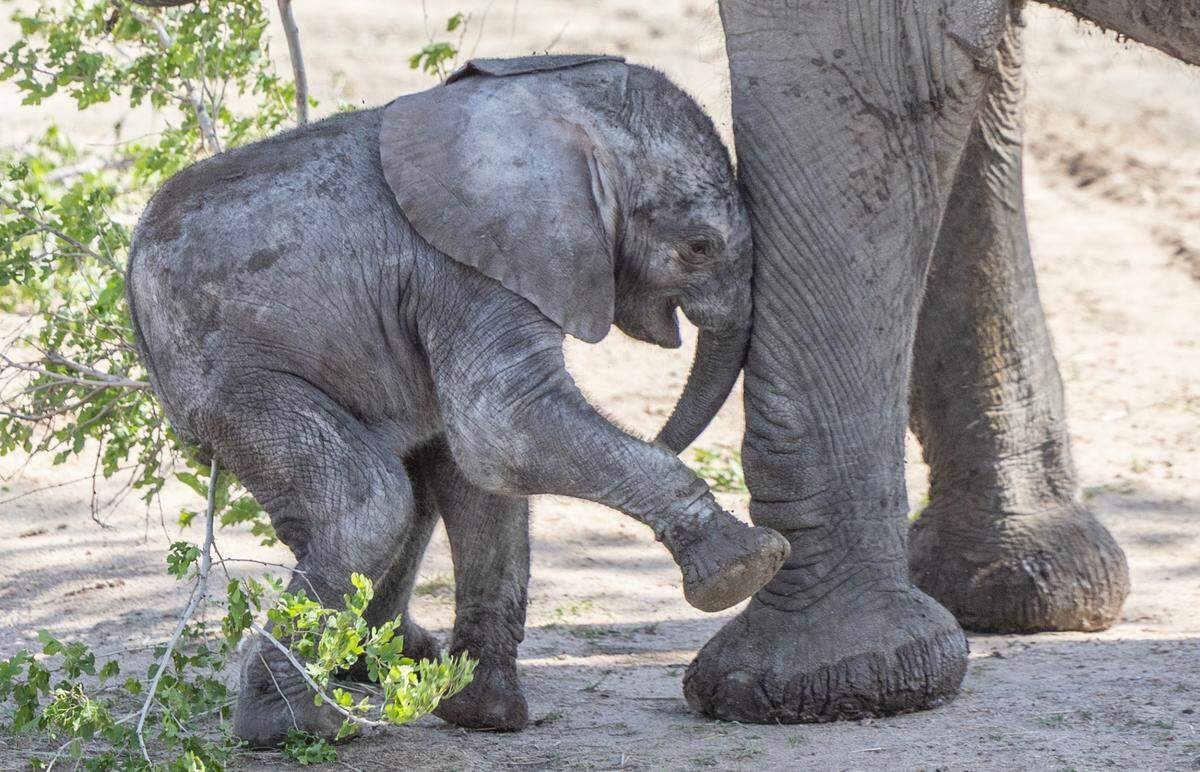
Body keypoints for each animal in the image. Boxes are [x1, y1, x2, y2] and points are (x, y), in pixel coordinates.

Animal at [124, 55, 790, 745]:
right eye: (699, 247)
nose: (664, 432)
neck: (551, 111)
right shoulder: (467, 269)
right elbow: (504, 428)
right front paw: (749, 565)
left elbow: (486, 480)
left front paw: (485, 717)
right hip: (229, 381)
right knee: (371, 502)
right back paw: (297, 725)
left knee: (398, 504)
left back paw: (389, 659)